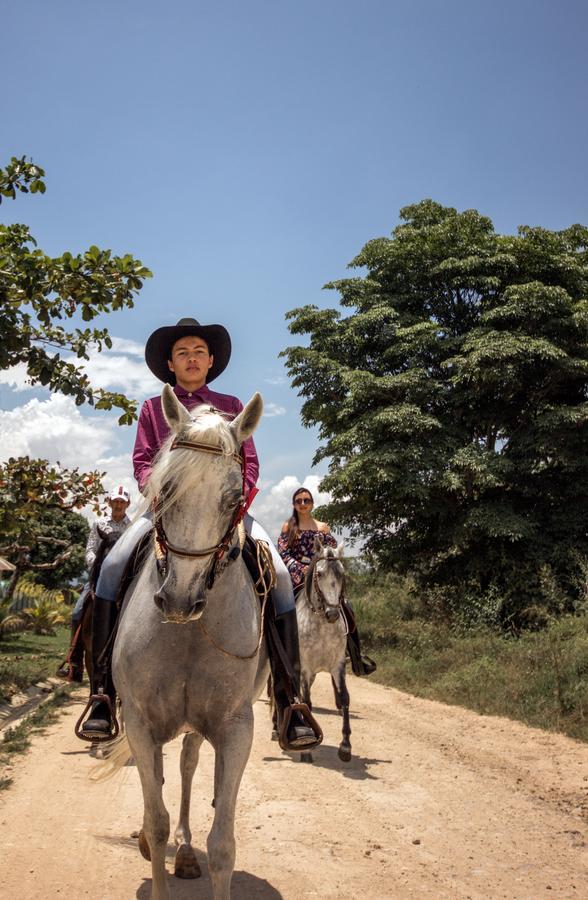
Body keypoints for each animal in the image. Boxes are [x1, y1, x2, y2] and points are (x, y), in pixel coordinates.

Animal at [106, 386, 268, 900]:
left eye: (235, 497)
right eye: (167, 487)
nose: (178, 599)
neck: (187, 634)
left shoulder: (237, 729)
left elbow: (223, 844)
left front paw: (196, 849)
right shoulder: (139, 723)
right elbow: (154, 822)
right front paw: (152, 842)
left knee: (187, 765)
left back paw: (186, 848)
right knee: (157, 780)